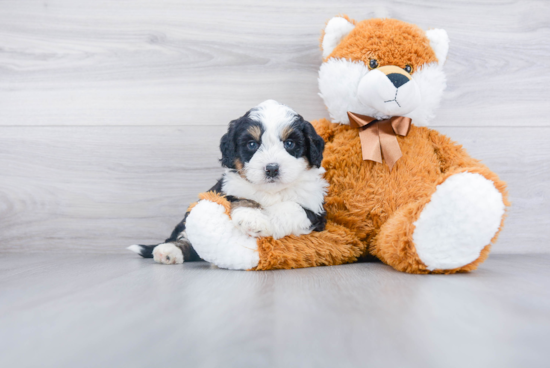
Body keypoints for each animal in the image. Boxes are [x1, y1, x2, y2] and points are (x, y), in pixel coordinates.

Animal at [128, 99, 328, 264]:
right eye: (252, 144)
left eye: (290, 144)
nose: (271, 168)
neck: (270, 191)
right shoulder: (223, 190)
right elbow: (242, 199)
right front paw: (251, 218)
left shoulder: (316, 210)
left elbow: (291, 207)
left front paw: (260, 221)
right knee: (185, 237)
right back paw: (168, 251)